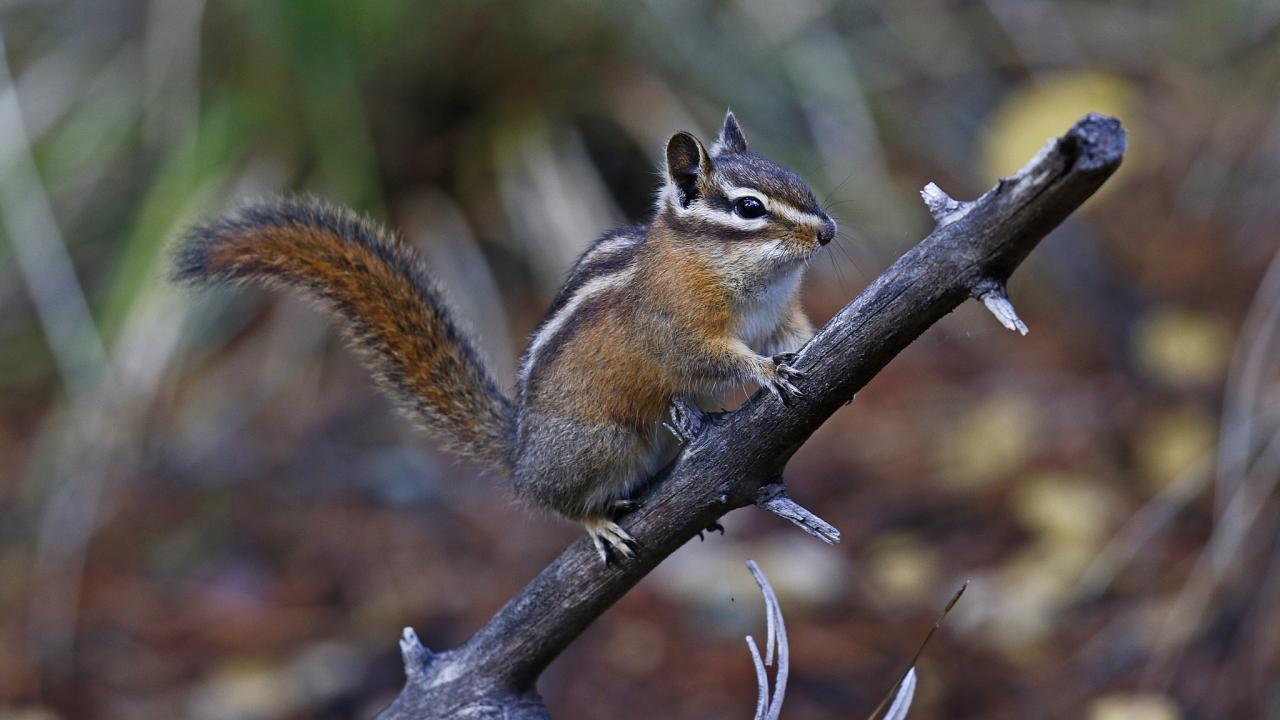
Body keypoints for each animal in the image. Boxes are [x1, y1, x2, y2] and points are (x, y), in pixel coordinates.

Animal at [173, 110, 836, 564]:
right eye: (749, 208)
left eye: (798, 179)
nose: (828, 232)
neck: (743, 277)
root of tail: (520, 454)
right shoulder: (676, 328)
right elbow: (712, 357)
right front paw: (767, 371)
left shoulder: (779, 315)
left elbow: (795, 331)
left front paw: (811, 345)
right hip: (602, 443)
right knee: (557, 502)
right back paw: (594, 522)